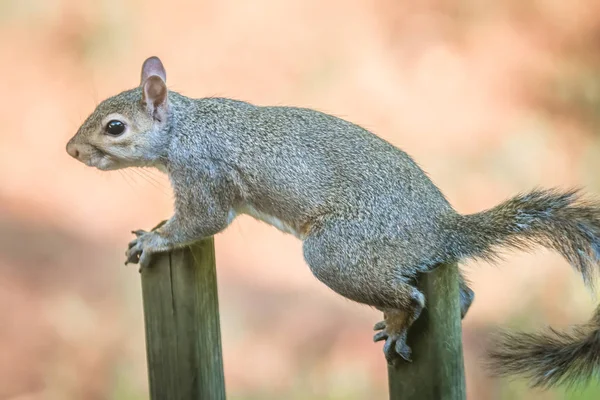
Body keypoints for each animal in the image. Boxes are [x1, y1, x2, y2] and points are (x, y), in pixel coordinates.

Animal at [65, 56, 600, 388]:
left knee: (412, 297)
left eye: (115, 127)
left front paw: (154, 240)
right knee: (460, 291)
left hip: (337, 253)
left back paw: (399, 322)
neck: (185, 129)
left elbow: (199, 221)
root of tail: (443, 228)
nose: (71, 150)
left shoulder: (207, 177)